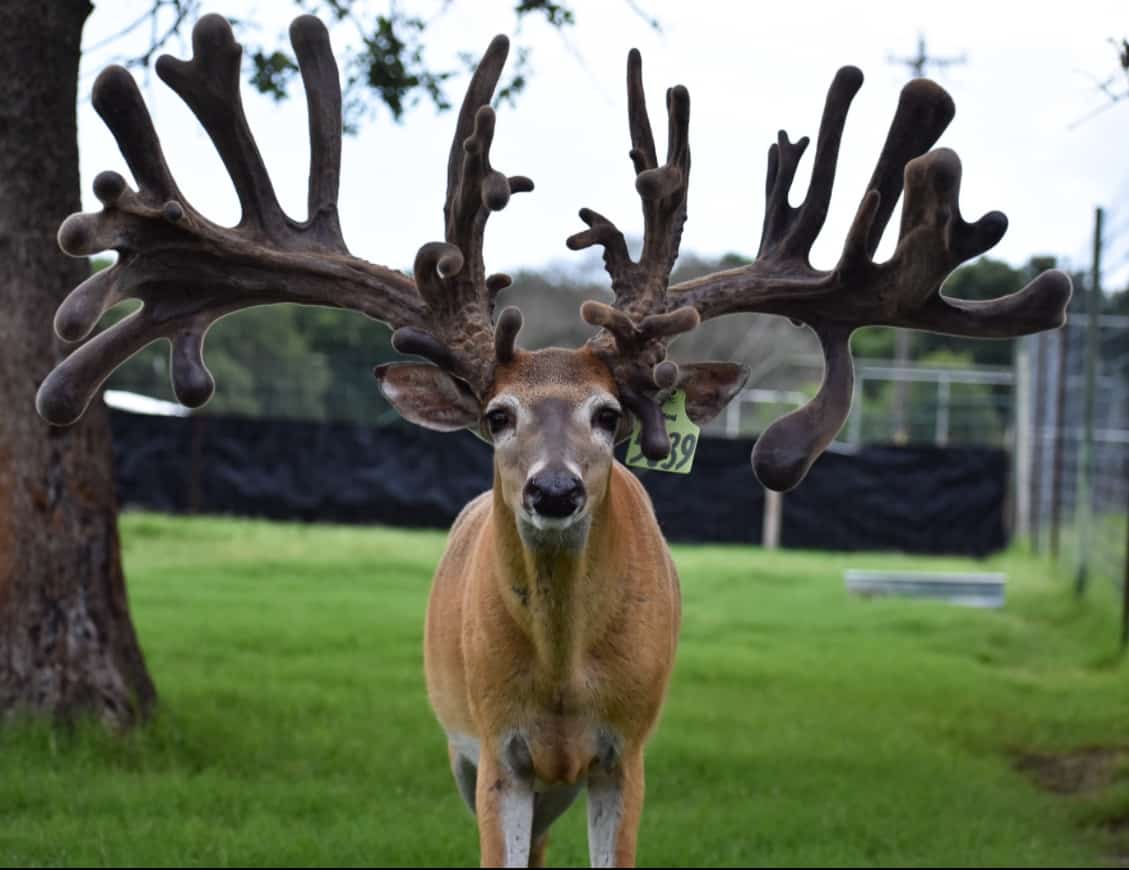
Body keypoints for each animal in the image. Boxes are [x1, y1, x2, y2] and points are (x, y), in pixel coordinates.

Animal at [36, 12, 1071, 868]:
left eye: (610, 415)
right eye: (496, 416)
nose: (555, 491)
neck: (566, 677)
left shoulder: (629, 753)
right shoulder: (498, 753)